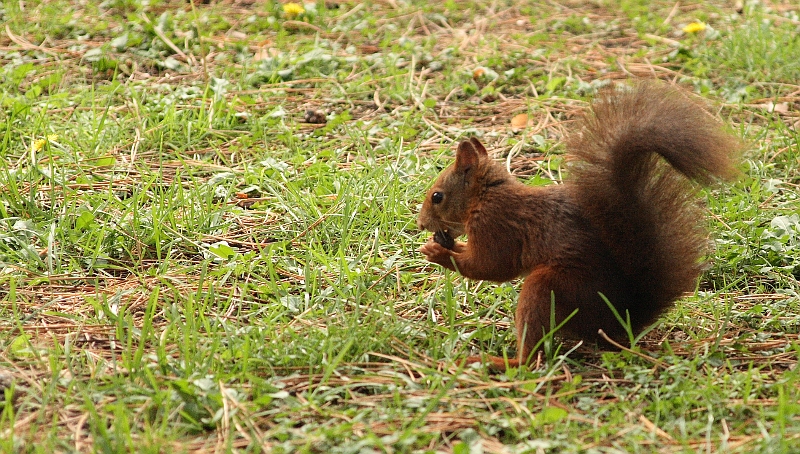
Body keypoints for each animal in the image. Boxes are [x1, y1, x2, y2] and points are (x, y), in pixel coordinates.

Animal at [418, 81, 744, 368]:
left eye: (437, 196)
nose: (421, 224)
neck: (485, 195)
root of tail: (618, 321)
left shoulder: (495, 226)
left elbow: (491, 267)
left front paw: (439, 254)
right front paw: (444, 244)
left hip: (549, 288)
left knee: (532, 358)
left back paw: (500, 362)